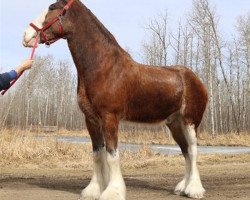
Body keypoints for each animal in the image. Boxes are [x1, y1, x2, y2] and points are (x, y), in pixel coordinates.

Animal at [23, 0, 207, 199]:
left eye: (51, 7)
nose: (26, 35)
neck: (104, 67)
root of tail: (196, 79)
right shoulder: (91, 120)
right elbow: (98, 154)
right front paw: (94, 190)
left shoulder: (110, 117)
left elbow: (112, 155)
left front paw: (113, 191)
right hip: (174, 123)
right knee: (185, 151)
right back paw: (182, 188)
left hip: (190, 121)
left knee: (193, 151)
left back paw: (194, 189)